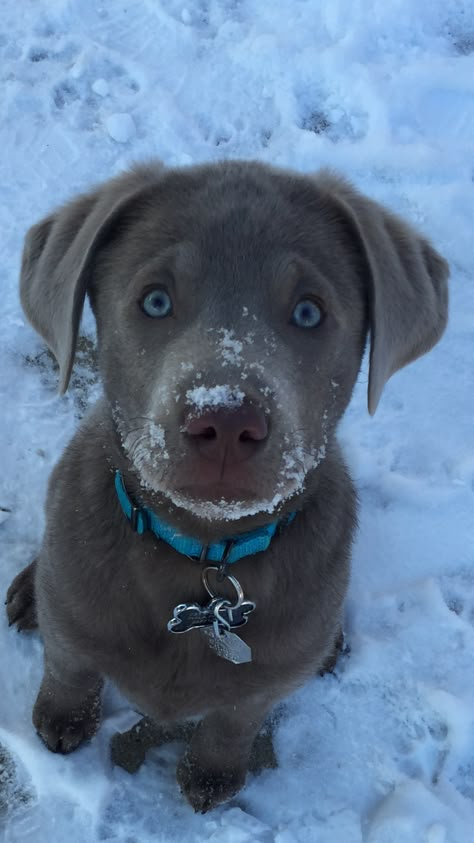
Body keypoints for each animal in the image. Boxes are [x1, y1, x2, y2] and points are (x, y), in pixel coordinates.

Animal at [5, 162, 448, 816]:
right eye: (155, 300)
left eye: (310, 312)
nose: (226, 419)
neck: (204, 556)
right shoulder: (73, 619)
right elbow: (70, 669)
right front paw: (61, 722)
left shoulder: (267, 677)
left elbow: (236, 717)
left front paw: (212, 776)